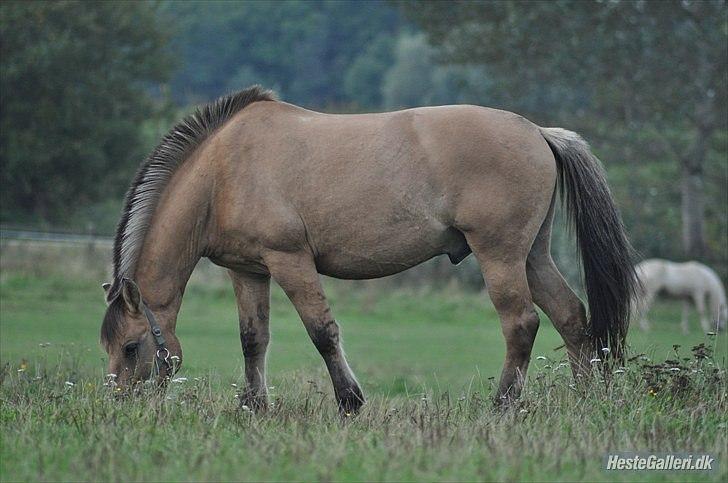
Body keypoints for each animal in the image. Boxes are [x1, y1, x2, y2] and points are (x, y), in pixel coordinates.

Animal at [102, 85, 636, 410]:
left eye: (130, 347)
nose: (120, 404)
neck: (223, 172)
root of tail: (539, 133)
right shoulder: (248, 270)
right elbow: (253, 338)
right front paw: (254, 406)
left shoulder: (289, 261)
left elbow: (322, 332)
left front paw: (350, 401)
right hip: (532, 256)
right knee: (571, 316)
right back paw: (585, 400)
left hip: (500, 255)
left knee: (521, 324)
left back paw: (502, 406)